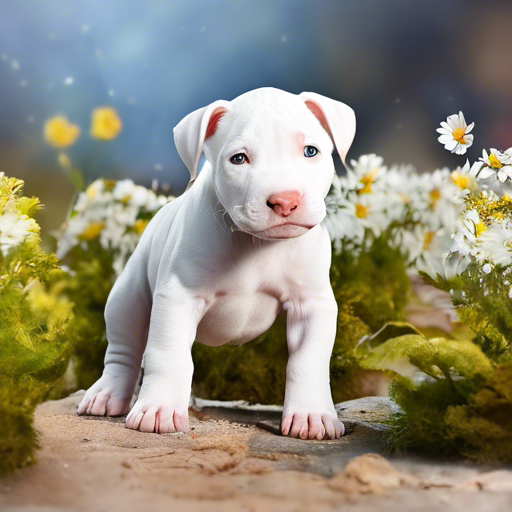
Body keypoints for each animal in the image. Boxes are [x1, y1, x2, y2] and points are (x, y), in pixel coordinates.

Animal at [77, 88, 356, 440]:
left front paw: (312, 415)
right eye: (239, 159)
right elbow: (169, 354)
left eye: (310, 151)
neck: (257, 245)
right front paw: (159, 409)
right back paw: (107, 394)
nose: (285, 201)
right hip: (128, 296)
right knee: (124, 349)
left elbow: (308, 359)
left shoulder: (312, 303)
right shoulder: (178, 297)